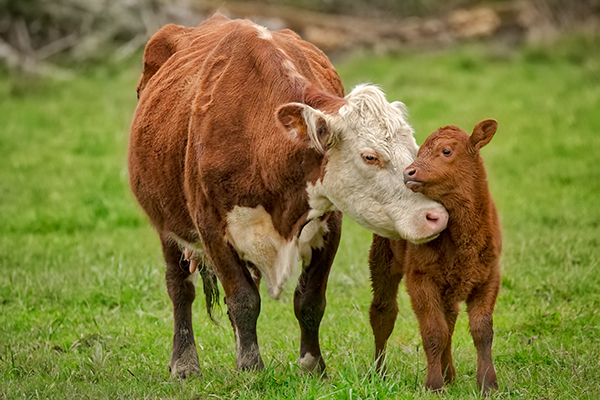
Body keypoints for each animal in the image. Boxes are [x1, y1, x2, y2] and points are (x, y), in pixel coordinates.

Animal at [129, 14, 448, 378]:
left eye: (413, 150)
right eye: (370, 156)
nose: (435, 216)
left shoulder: (330, 225)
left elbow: (309, 300)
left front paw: (312, 365)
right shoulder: (211, 228)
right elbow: (243, 299)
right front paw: (250, 368)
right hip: (167, 224)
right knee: (180, 287)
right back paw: (184, 362)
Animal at [366, 119, 502, 394]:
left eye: (446, 151)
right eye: (418, 152)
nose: (409, 172)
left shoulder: (489, 277)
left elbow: (482, 331)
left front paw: (488, 383)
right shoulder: (421, 278)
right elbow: (433, 331)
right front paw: (434, 385)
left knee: (449, 320)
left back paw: (449, 373)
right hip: (382, 260)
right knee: (383, 313)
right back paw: (379, 373)